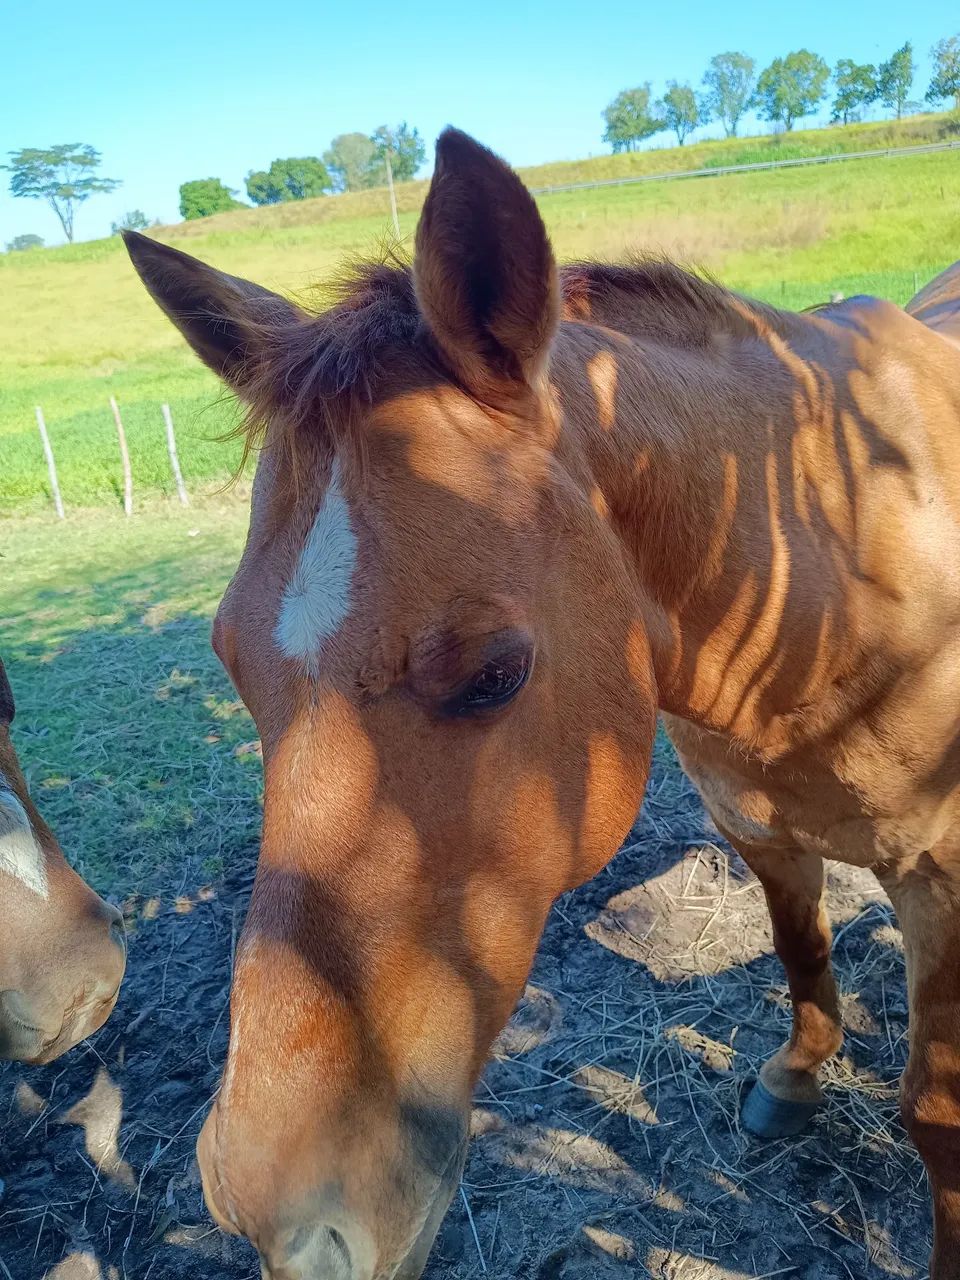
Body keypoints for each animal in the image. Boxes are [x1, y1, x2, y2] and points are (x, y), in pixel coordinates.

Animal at [124, 128, 960, 1280]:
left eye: (495, 673)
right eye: (231, 661)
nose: (289, 1220)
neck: (835, 573)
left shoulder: (943, 882)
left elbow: (935, 1113)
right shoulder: (758, 832)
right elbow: (802, 955)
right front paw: (794, 1078)